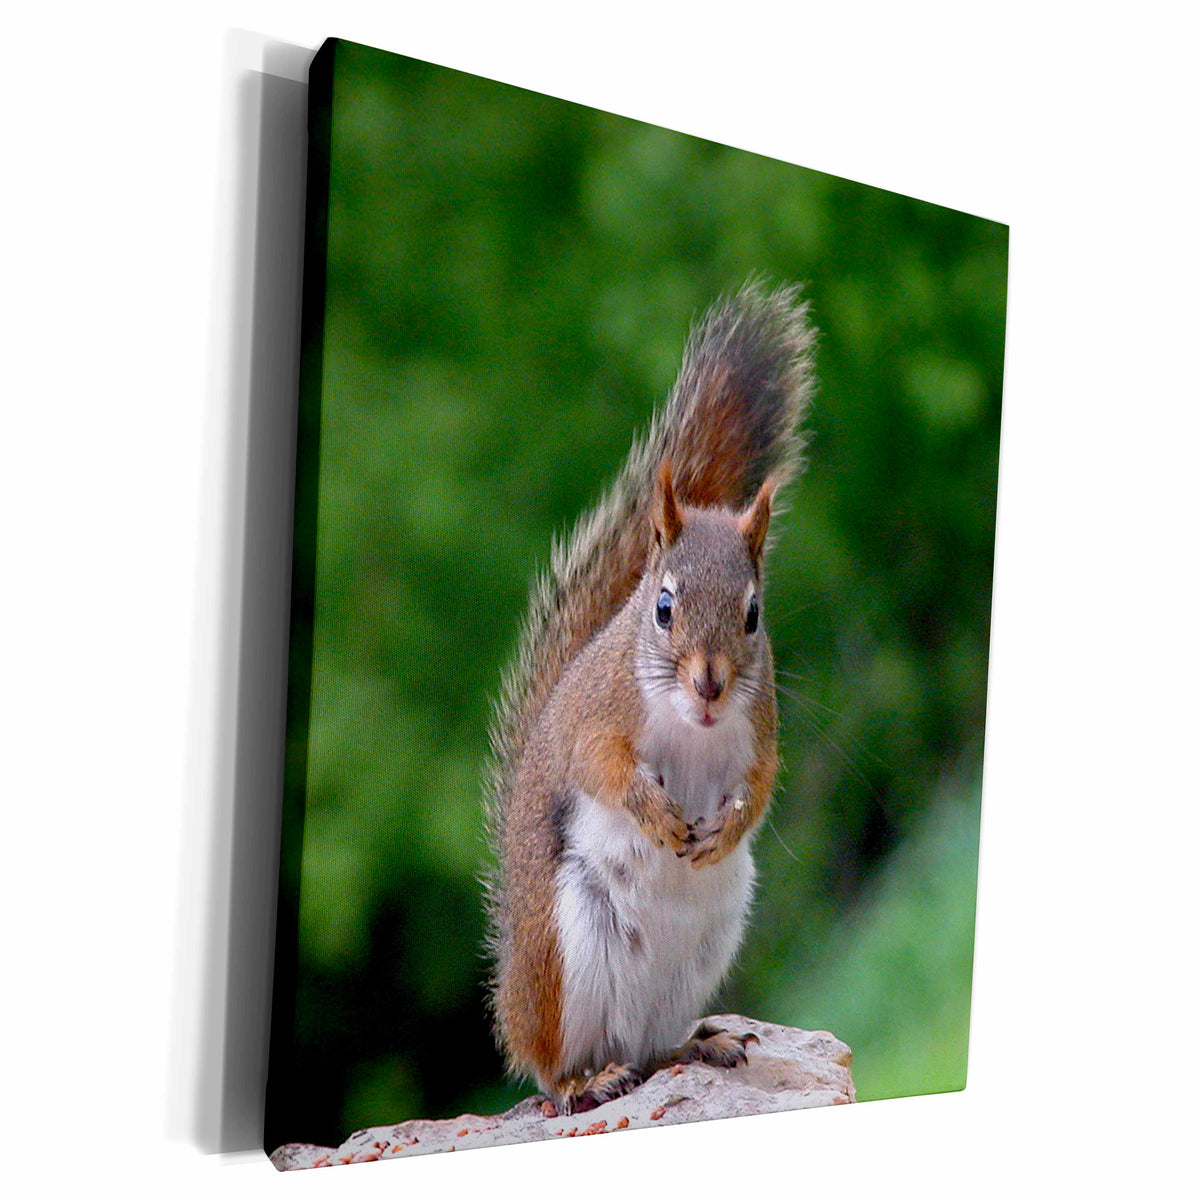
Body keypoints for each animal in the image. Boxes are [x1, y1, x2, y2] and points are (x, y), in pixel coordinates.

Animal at [484, 282, 814, 1114]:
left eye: (754, 614)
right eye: (663, 606)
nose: (710, 683)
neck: (696, 726)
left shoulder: (760, 733)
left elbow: (761, 787)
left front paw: (724, 828)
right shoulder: (596, 719)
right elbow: (600, 767)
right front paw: (657, 811)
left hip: (704, 948)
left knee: (650, 1045)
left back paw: (699, 1044)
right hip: (567, 954)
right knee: (556, 1069)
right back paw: (586, 1078)